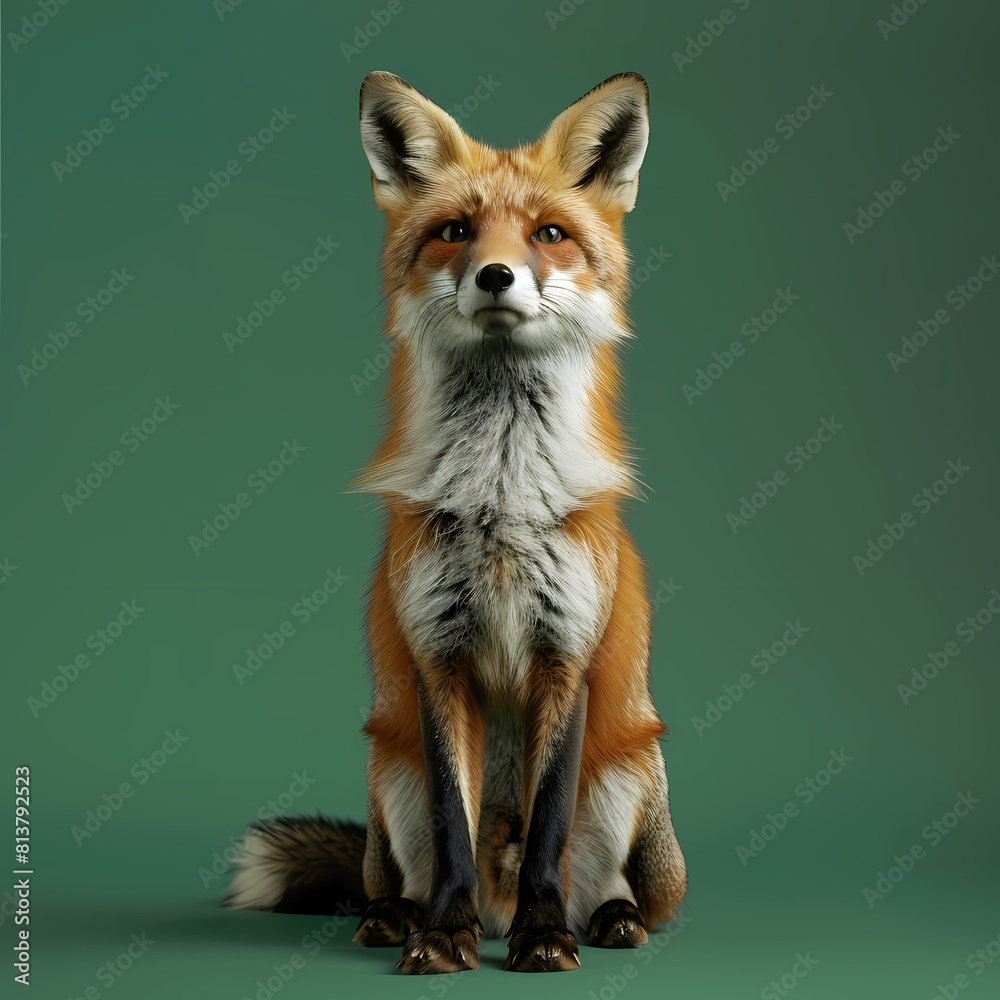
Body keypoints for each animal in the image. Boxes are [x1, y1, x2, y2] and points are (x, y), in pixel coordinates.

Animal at [225, 70, 687, 975]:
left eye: (549, 234)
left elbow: (546, 830)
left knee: (610, 885)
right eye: (455, 232)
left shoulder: (565, 656)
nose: (497, 276)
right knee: (398, 873)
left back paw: (603, 919)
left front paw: (545, 938)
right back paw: (396, 918)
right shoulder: (437, 661)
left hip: (631, 777)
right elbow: (452, 827)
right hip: (388, 770)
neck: (501, 498)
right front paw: (443, 934)